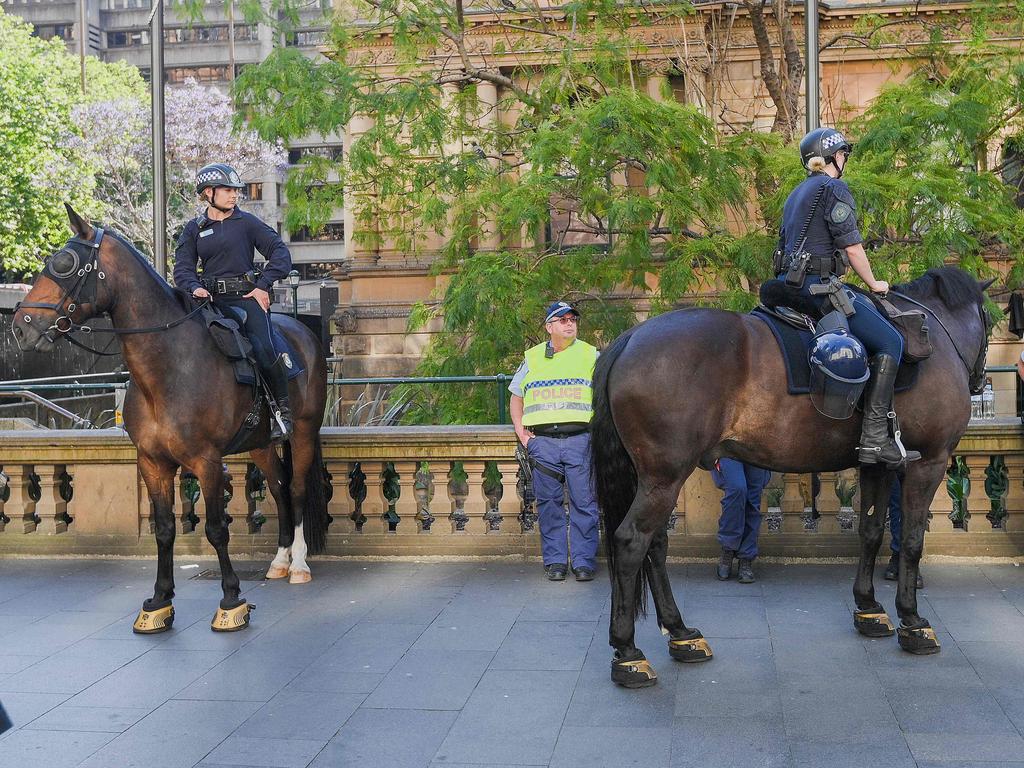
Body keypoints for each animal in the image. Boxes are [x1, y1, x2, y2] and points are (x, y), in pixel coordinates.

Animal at [12, 204, 331, 638]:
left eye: (64, 264)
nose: (20, 327)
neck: (167, 367)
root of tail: (302, 327)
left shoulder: (207, 462)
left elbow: (216, 529)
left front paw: (232, 601)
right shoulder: (152, 462)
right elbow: (164, 529)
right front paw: (159, 601)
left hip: (303, 432)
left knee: (295, 489)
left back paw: (297, 563)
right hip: (261, 444)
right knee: (280, 489)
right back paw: (280, 560)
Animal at [593, 268, 991, 688]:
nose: (980, 380)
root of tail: (630, 339)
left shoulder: (878, 465)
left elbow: (870, 532)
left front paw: (868, 607)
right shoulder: (927, 463)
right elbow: (913, 541)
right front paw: (912, 622)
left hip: (656, 477)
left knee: (655, 543)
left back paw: (680, 633)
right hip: (665, 476)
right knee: (632, 540)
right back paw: (628, 652)